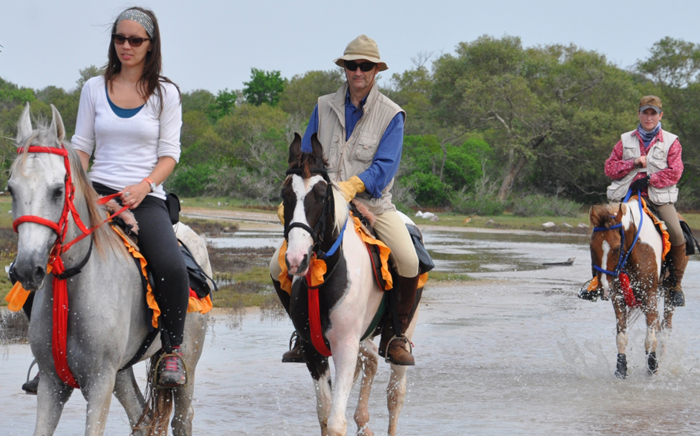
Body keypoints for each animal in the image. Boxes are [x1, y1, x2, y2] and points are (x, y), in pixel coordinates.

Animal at [10, 104, 209, 436]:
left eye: (57, 190)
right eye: (10, 189)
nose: (26, 269)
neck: (74, 285)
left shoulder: (99, 382)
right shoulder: (52, 384)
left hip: (187, 363)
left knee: (183, 418)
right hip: (122, 372)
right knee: (141, 417)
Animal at [589, 195, 675, 379]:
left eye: (616, 248)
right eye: (592, 247)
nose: (604, 287)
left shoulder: (649, 294)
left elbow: (650, 337)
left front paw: (653, 366)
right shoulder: (618, 296)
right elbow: (621, 335)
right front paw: (621, 368)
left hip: (668, 295)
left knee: (665, 327)